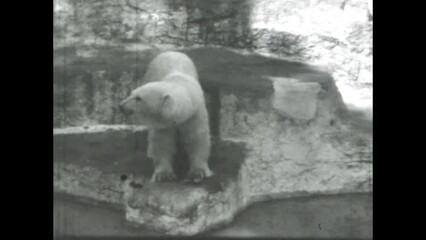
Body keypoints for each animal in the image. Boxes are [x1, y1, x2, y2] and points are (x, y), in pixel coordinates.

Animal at [119, 51, 212, 183]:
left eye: (138, 98)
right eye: (131, 93)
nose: (121, 106)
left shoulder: (195, 114)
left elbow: (197, 139)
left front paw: (197, 172)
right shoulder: (163, 124)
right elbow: (162, 143)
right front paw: (164, 174)